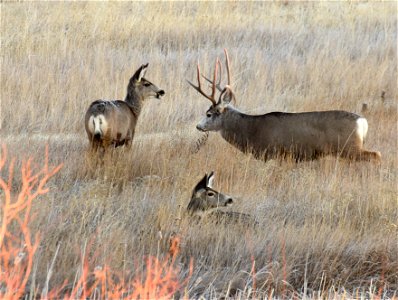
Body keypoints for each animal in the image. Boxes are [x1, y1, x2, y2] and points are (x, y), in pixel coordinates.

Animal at [188, 49, 380, 162]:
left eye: (209, 113)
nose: (198, 126)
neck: (251, 130)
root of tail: (362, 121)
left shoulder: (273, 153)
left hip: (349, 147)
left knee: (375, 155)